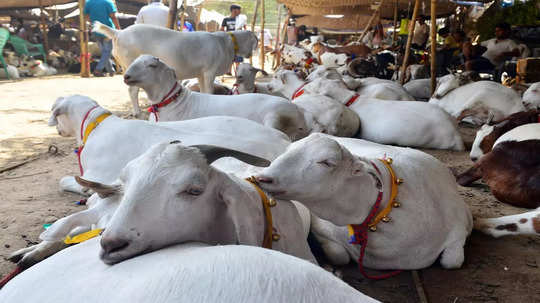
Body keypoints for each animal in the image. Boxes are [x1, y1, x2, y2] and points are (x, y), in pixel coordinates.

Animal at [92, 21, 258, 116]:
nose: (250, 54)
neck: (226, 42)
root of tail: (118, 33)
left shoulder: (201, 74)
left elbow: (204, 91)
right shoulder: (209, 71)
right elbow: (209, 90)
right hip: (131, 65)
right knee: (132, 90)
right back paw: (137, 112)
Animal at [255, 134, 470, 270]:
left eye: (327, 162)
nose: (263, 177)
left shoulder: (460, 229)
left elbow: (452, 261)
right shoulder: (321, 226)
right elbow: (339, 255)